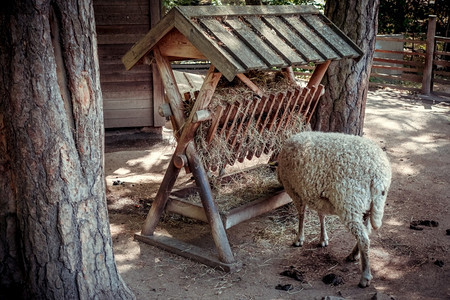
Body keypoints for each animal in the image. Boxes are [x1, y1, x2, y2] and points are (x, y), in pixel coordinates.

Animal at [276, 130, 392, 288]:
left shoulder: (295, 191)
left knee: (363, 238)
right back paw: (354, 254)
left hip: (350, 202)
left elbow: (301, 214)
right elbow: (321, 215)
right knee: (366, 231)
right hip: (368, 205)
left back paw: (365, 276)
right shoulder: (317, 195)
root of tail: (379, 174)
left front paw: (299, 238)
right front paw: (323, 238)